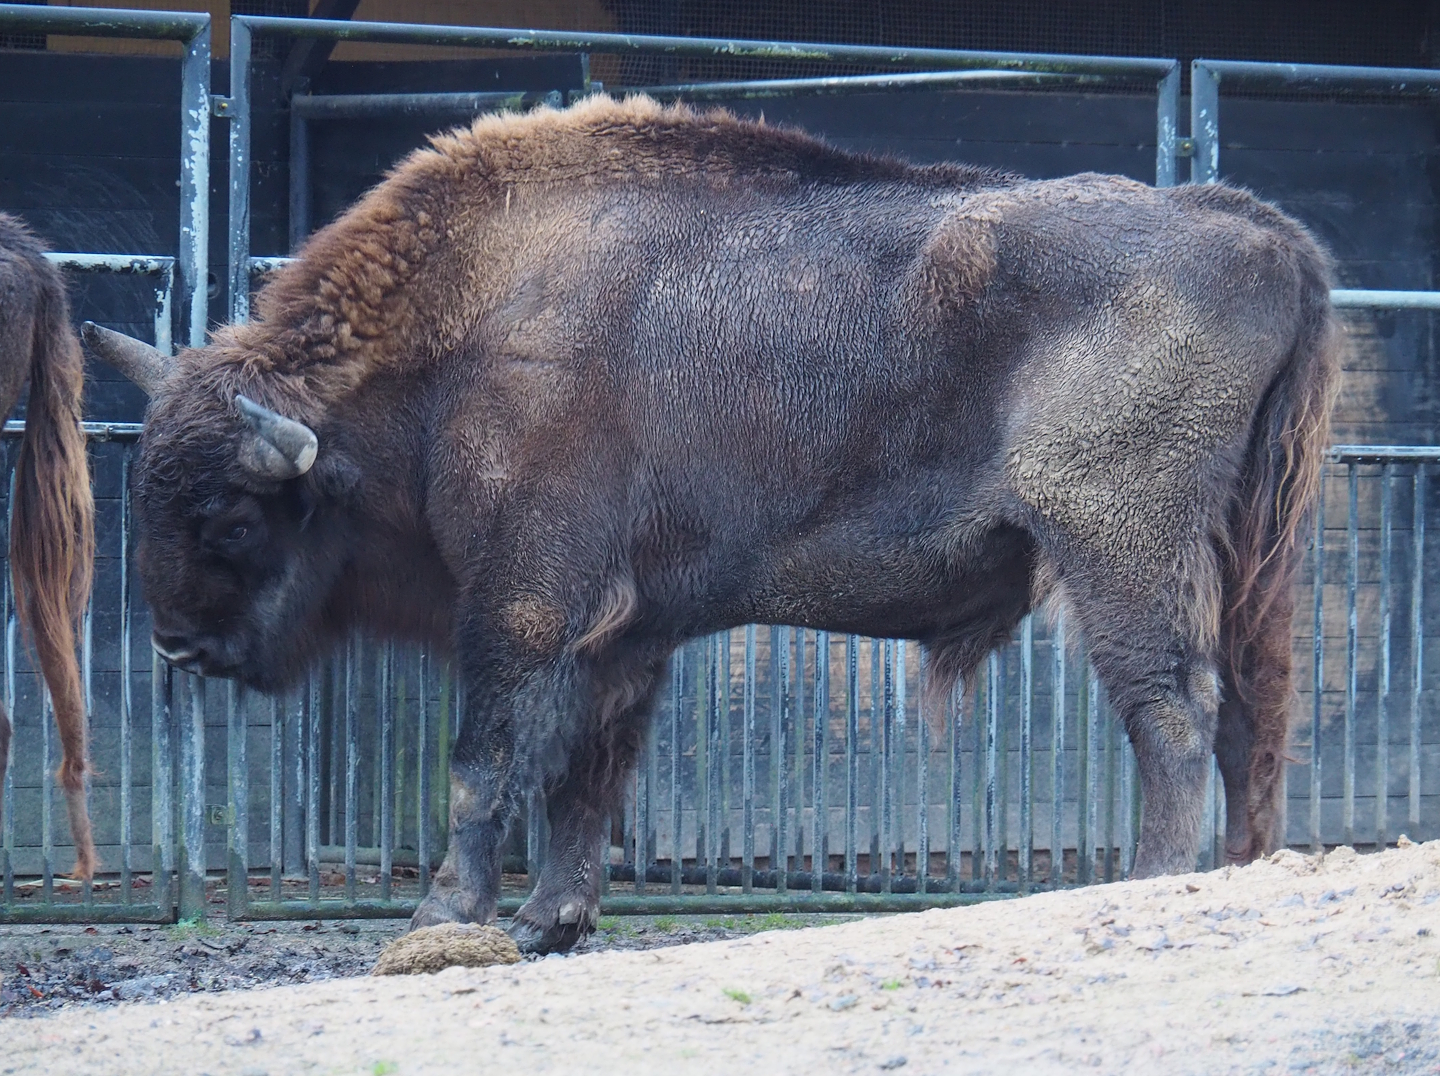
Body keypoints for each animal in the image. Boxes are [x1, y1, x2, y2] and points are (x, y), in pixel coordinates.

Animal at [85, 96, 1338, 952]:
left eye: (231, 515)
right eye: (142, 488)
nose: (174, 645)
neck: (464, 328)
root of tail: (1248, 230)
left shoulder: (519, 598)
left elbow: (487, 758)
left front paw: (444, 916)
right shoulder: (625, 633)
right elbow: (587, 771)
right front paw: (551, 919)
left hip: (1120, 548)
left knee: (1170, 708)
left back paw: (1146, 879)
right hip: (1248, 557)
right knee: (1250, 716)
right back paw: (1241, 867)